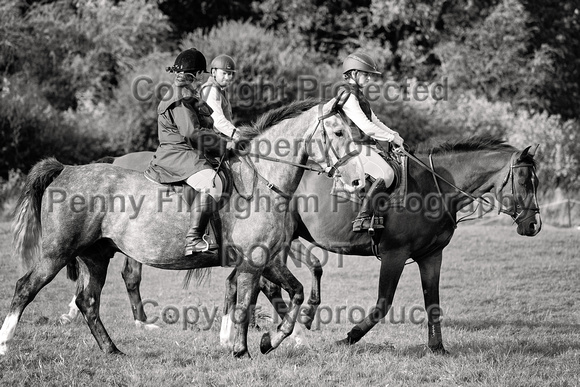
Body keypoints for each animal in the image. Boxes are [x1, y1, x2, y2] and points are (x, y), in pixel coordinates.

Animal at [0, 99, 362, 358]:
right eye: (339, 133)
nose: (358, 181)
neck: (262, 179)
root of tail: (65, 170)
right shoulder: (254, 262)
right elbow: (248, 302)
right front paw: (243, 350)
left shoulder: (267, 260)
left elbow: (294, 292)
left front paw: (268, 341)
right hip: (57, 252)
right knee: (25, 288)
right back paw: (5, 342)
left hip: (96, 256)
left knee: (88, 301)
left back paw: (113, 350)